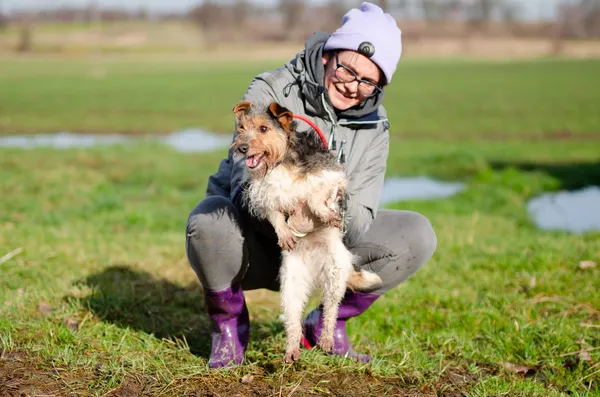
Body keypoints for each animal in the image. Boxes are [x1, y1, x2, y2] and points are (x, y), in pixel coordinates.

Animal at [232, 100, 382, 364]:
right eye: (241, 128)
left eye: (263, 128)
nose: (241, 147)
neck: (280, 162)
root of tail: (314, 272)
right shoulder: (265, 196)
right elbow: (275, 215)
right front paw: (284, 234)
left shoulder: (332, 178)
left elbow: (313, 196)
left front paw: (324, 214)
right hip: (291, 286)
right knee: (293, 321)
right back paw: (292, 350)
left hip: (335, 275)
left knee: (330, 312)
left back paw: (327, 340)